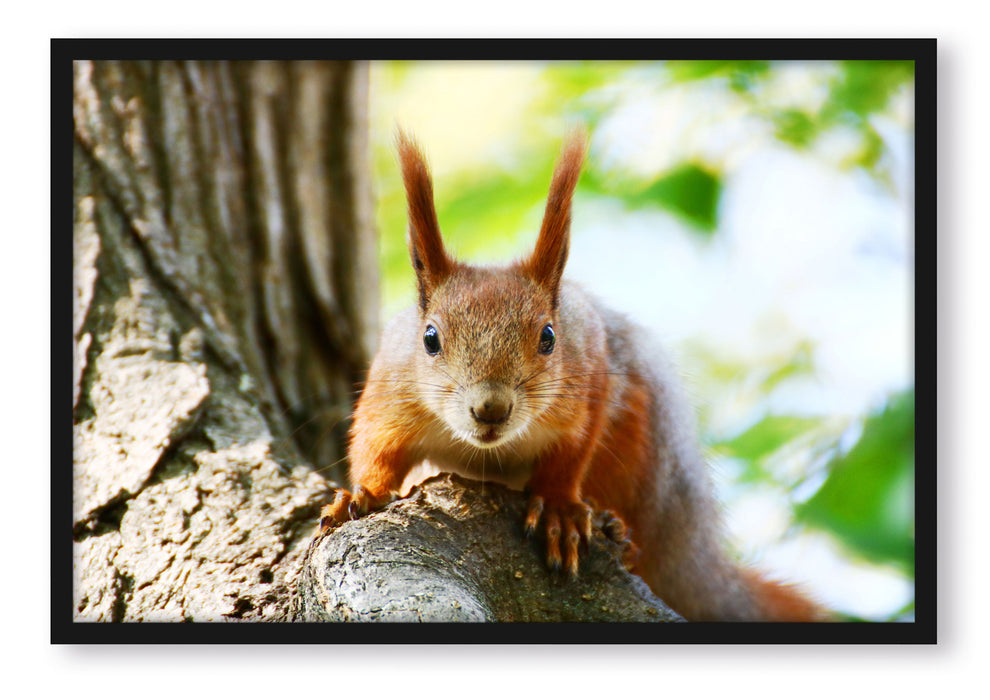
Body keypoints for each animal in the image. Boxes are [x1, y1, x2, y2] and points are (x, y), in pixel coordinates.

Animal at [320, 129, 828, 620]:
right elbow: (375, 447)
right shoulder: (391, 390)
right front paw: (361, 494)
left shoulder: (591, 379)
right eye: (429, 339)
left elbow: (571, 453)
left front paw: (559, 509)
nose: (491, 409)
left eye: (549, 336)